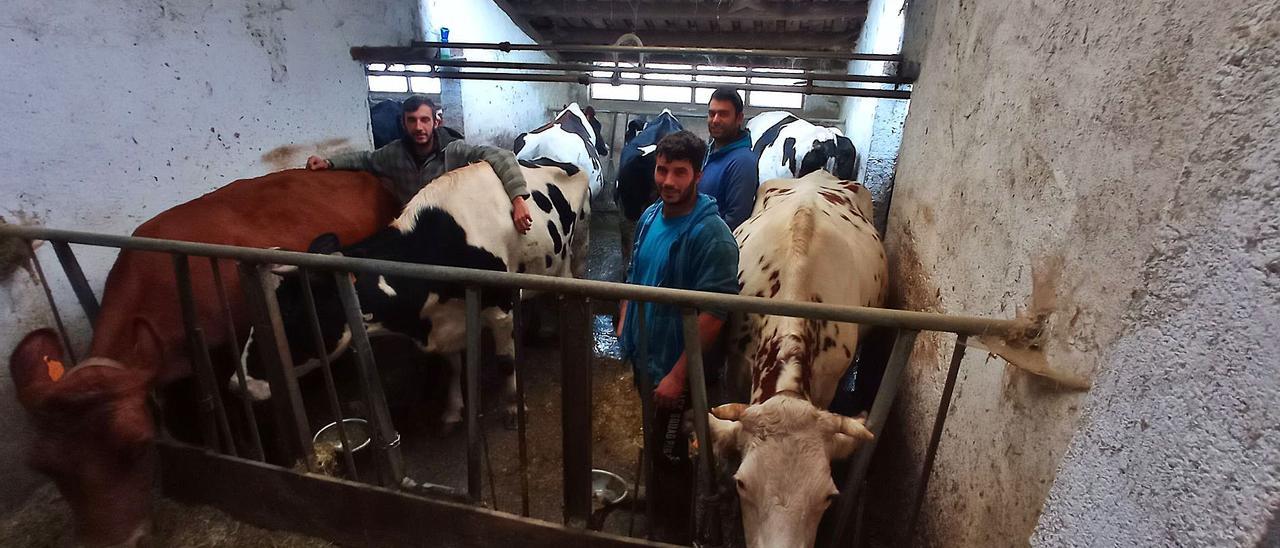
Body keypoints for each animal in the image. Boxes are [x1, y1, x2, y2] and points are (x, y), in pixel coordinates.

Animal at [239, 158, 588, 427]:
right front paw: (452, 411)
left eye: (288, 311)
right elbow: (453, 366)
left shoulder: (499, 310)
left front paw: (514, 408)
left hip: (574, 251)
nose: (237, 384)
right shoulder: (446, 323)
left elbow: (506, 362)